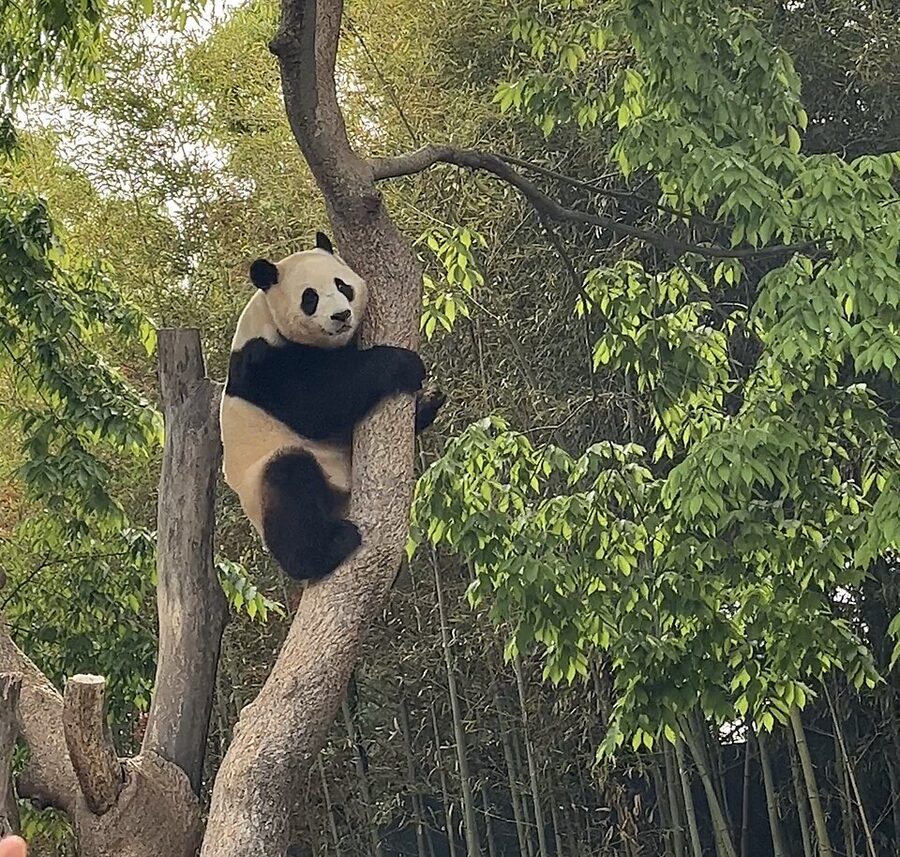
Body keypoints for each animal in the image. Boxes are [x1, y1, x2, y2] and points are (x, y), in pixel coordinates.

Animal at [220, 231, 445, 582]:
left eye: (342, 285)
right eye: (309, 298)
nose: (341, 316)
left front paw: (426, 399)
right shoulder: (262, 364)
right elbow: (316, 406)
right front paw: (404, 364)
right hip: (263, 480)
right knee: (290, 481)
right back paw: (327, 549)